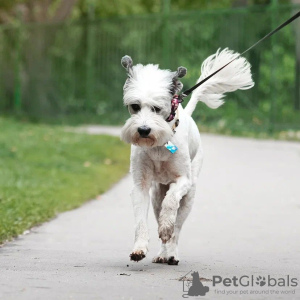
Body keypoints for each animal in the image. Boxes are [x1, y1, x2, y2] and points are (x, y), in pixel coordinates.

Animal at [119, 48, 253, 264]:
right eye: (135, 106)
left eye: (157, 108)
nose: (144, 130)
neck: (160, 144)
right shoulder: (140, 185)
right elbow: (140, 221)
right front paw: (139, 249)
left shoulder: (183, 180)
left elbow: (171, 203)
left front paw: (166, 226)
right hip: (157, 194)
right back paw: (162, 254)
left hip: (189, 197)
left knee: (177, 228)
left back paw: (172, 253)